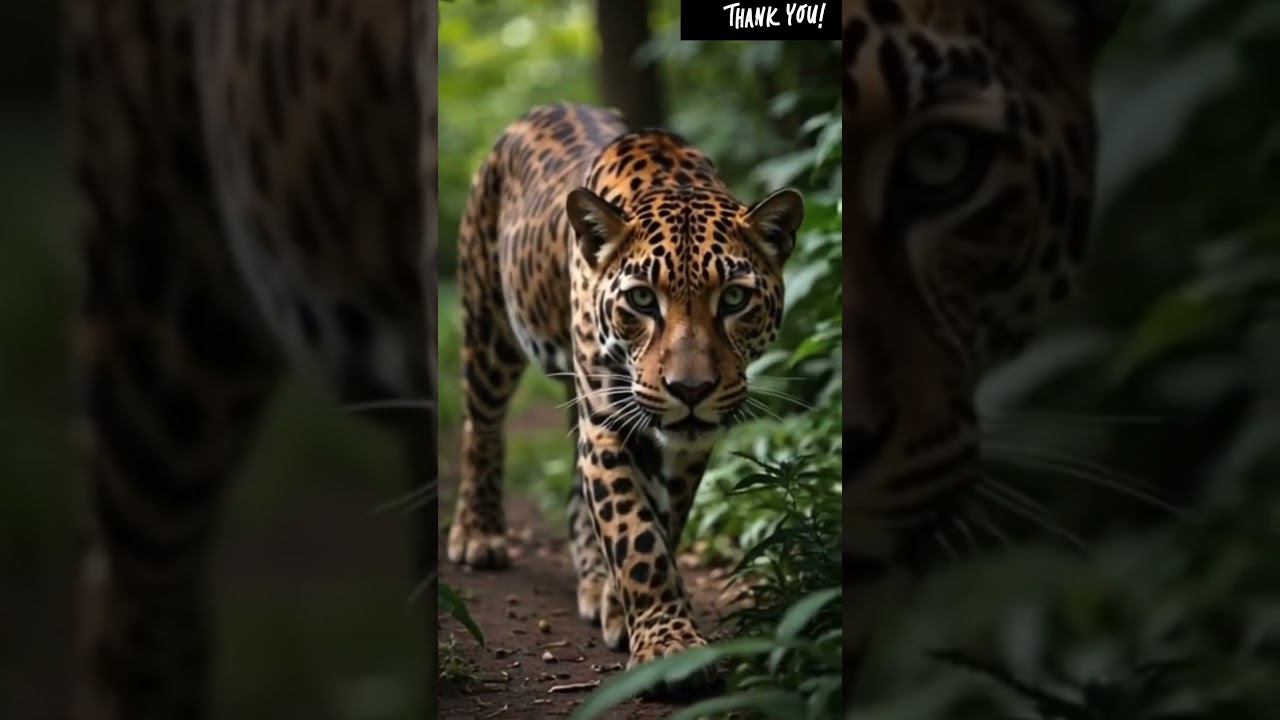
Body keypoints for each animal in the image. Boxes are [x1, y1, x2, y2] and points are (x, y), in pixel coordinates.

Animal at [445, 101, 805, 693]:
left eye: (734, 299)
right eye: (641, 300)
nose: (690, 390)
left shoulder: (683, 445)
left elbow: (660, 521)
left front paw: (627, 607)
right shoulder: (609, 418)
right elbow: (635, 534)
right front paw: (669, 646)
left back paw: (594, 584)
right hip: (488, 327)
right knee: (482, 427)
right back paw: (479, 534)